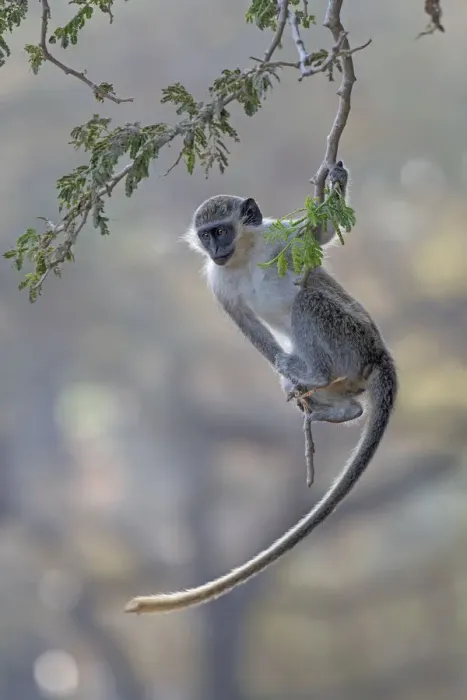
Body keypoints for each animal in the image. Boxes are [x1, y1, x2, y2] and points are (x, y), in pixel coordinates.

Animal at [125, 162, 398, 615]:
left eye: (222, 230)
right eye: (206, 234)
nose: (215, 247)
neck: (243, 256)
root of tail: (379, 355)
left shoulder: (279, 234)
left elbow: (320, 235)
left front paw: (335, 179)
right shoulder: (218, 281)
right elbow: (248, 326)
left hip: (351, 338)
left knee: (308, 298)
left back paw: (314, 375)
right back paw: (338, 406)